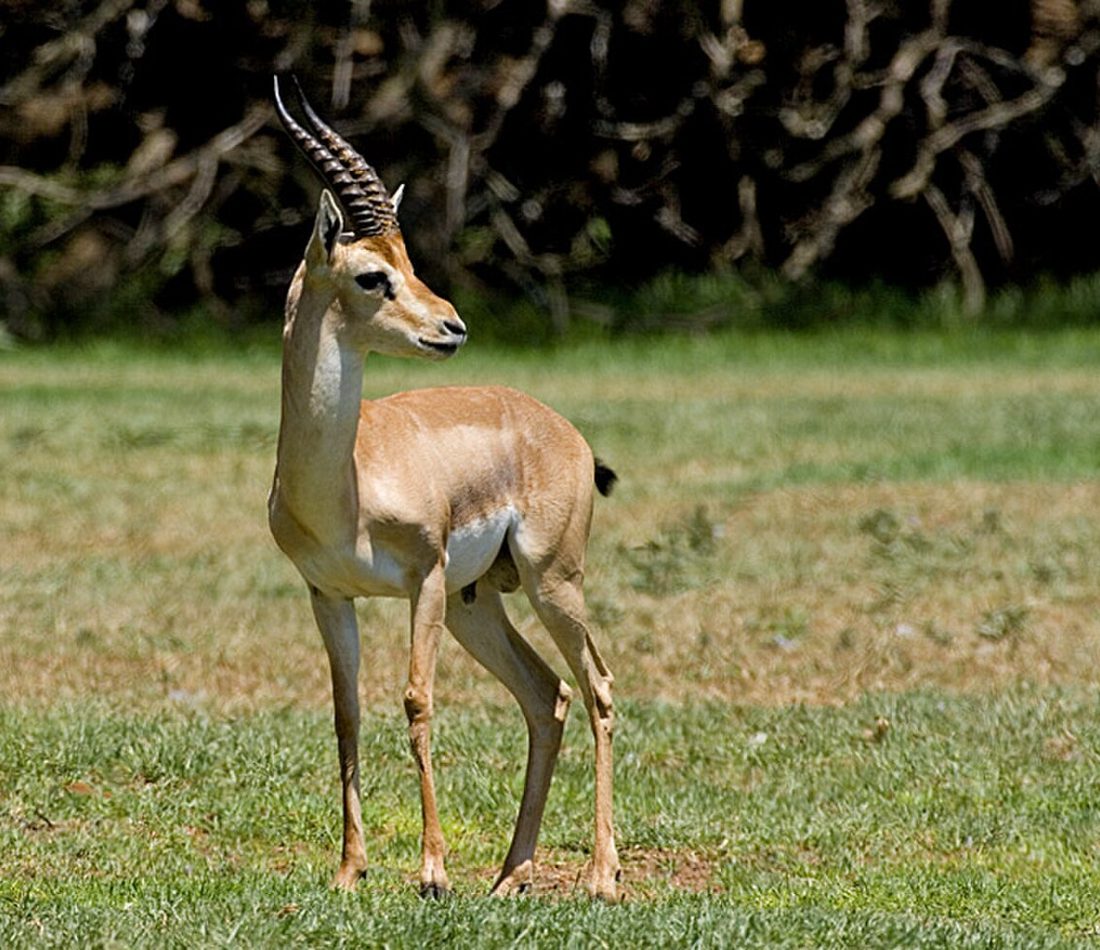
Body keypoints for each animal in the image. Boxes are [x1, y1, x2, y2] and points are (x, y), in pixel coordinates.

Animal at [268, 76, 620, 900]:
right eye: (374, 274)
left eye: (411, 259)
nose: (452, 326)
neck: (346, 484)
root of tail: (559, 427)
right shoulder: (327, 595)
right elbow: (347, 714)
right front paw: (350, 870)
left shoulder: (423, 578)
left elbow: (417, 702)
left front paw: (431, 872)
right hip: (478, 603)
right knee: (547, 696)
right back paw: (510, 877)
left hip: (550, 582)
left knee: (596, 687)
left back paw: (601, 878)